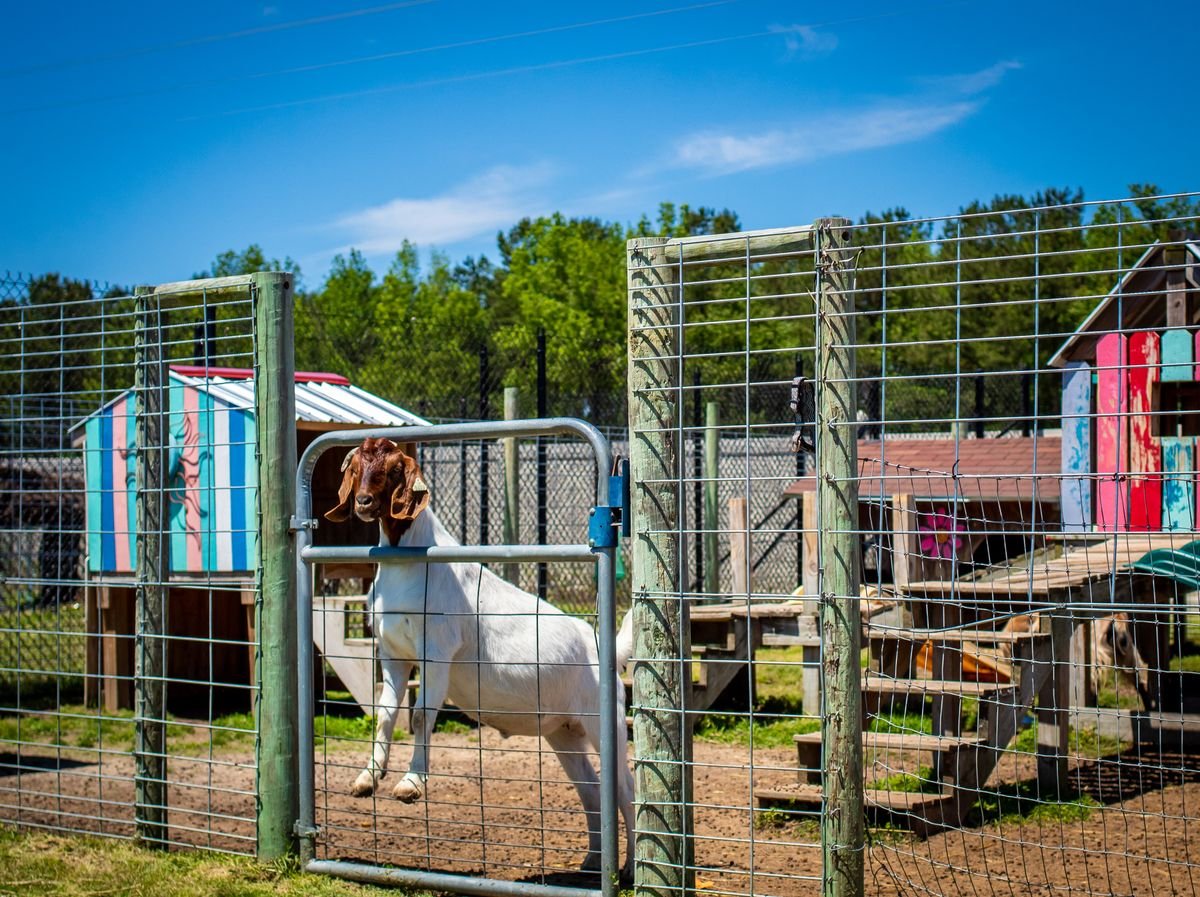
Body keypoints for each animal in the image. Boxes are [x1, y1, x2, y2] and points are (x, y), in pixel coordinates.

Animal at [324, 437, 635, 878]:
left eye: (396, 469)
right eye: (356, 466)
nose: (364, 501)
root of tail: (604, 647)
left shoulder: (437, 649)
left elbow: (420, 715)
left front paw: (410, 785)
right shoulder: (393, 654)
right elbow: (385, 715)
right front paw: (368, 778)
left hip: (603, 721)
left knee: (625, 790)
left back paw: (628, 871)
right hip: (564, 731)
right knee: (592, 790)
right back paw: (592, 864)